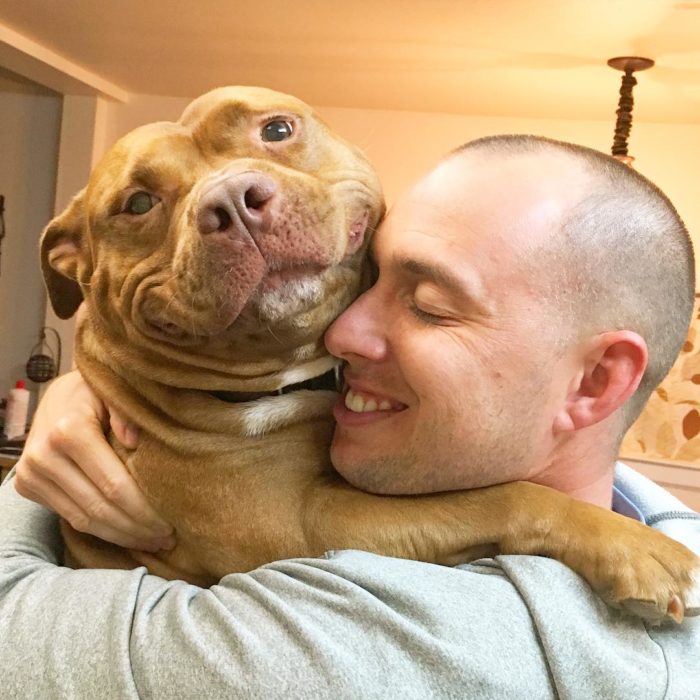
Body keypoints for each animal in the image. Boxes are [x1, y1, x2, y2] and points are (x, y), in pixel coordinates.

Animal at [41, 86, 700, 624]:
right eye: (138, 203)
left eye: (276, 129)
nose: (231, 199)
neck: (290, 377)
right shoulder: (305, 523)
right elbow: (502, 496)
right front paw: (634, 546)